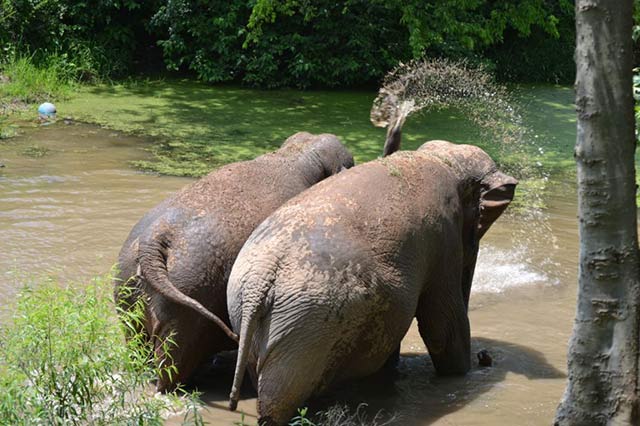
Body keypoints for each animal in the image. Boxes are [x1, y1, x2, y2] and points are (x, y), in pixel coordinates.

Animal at [115, 131, 356, 392]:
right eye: (352, 163)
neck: (296, 155)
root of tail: (153, 239)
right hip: (187, 297)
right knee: (172, 363)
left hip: (128, 286)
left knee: (138, 344)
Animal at [225, 139, 516, 422]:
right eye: (480, 220)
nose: (485, 356)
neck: (441, 158)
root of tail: (262, 277)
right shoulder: (444, 236)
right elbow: (442, 324)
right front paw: (464, 373)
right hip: (305, 328)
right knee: (279, 400)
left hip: (256, 318)